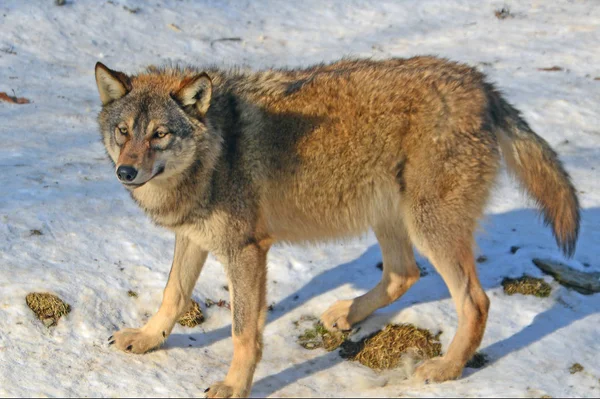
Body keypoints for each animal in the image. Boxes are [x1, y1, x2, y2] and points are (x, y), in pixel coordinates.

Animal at [95, 55, 580, 396]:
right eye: (124, 131)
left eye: (159, 134)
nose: (126, 172)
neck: (214, 151)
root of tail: (480, 83)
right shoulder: (193, 238)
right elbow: (172, 296)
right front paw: (147, 339)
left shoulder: (246, 250)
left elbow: (242, 333)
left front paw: (234, 386)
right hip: (388, 215)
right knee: (404, 274)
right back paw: (348, 313)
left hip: (428, 227)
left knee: (475, 302)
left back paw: (445, 369)